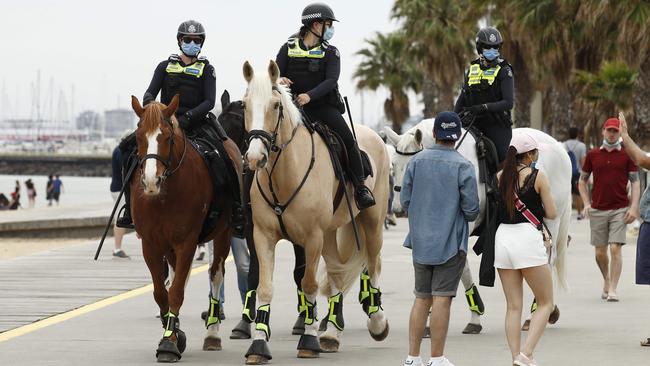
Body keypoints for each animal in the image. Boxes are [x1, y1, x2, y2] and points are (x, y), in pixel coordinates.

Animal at [130, 95, 242, 364]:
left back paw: (212, 335)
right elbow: (162, 292)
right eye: (138, 136)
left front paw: (169, 343)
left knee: (216, 274)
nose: (151, 181)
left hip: (223, 234)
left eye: (168, 137)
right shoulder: (150, 245)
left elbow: (177, 291)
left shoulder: (187, 242)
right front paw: (174, 334)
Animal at [384, 120, 568, 328]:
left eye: (411, 165)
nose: (399, 209)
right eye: (393, 165)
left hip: (551, 219)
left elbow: (459, 265)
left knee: (549, 258)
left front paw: (474, 314)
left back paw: (536, 312)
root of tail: (558, 146)